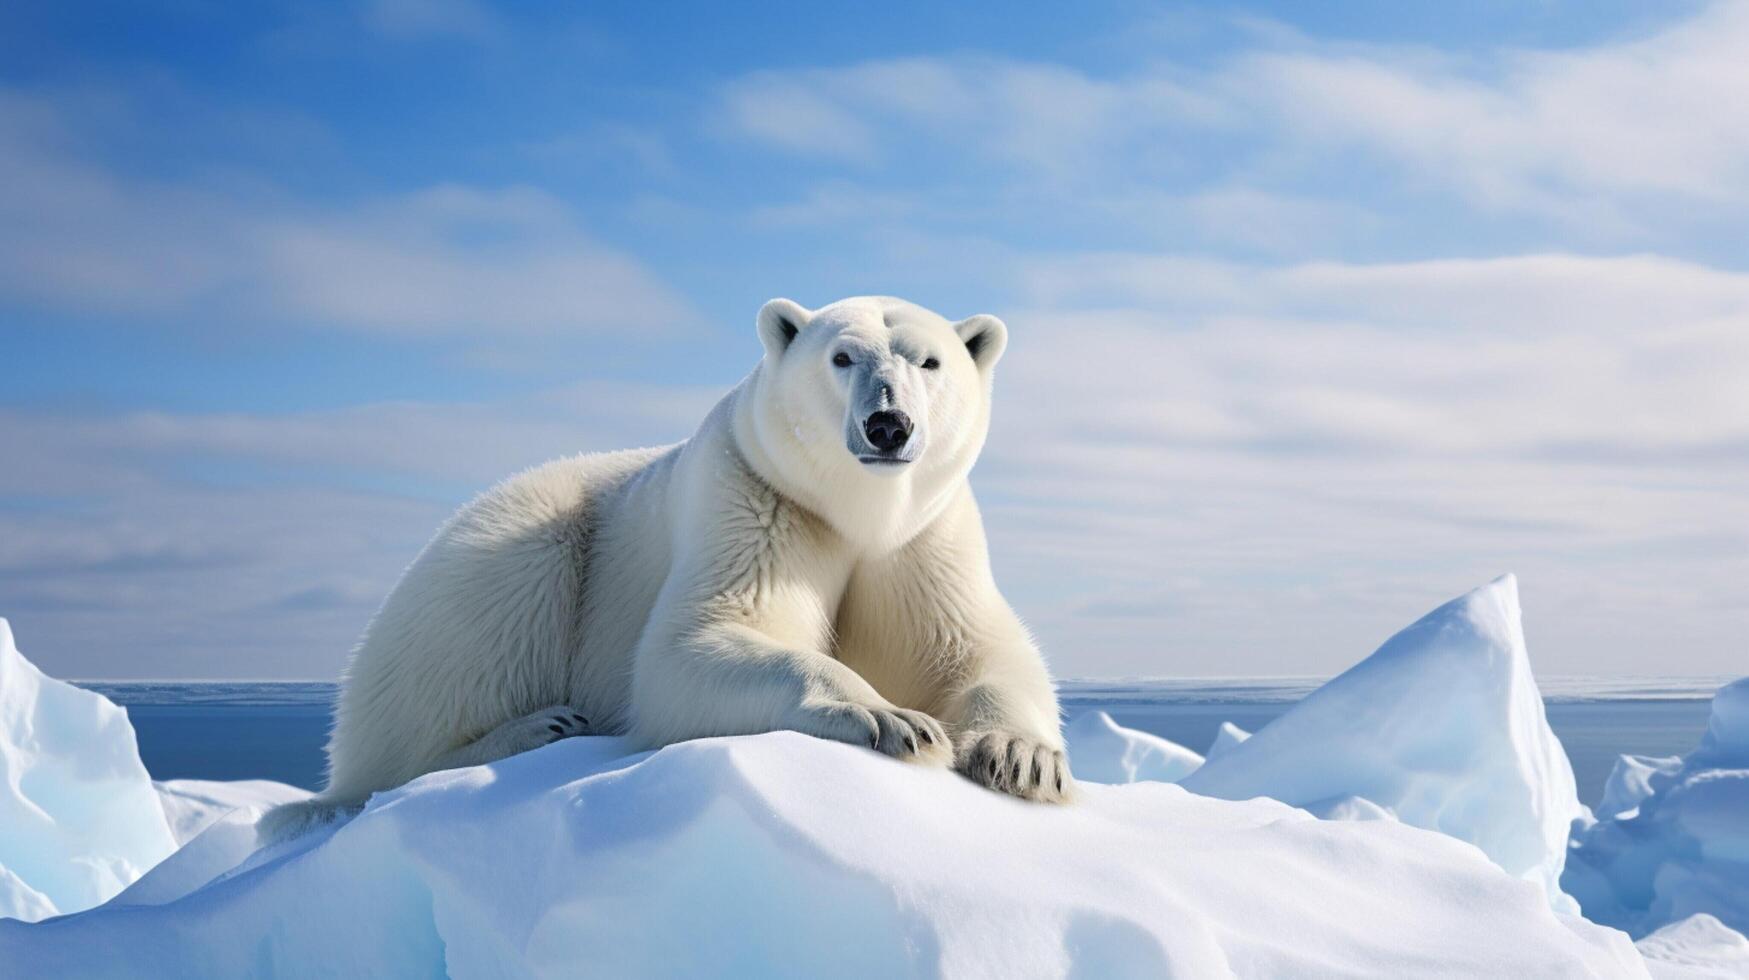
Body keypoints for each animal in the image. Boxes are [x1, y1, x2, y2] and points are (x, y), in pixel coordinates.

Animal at [260, 294, 1070, 840]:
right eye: (841, 357)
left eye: (929, 361)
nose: (887, 425)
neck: (855, 514)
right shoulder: (752, 499)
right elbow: (692, 645)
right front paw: (891, 716)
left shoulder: (924, 539)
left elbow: (976, 648)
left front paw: (1024, 759)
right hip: (510, 545)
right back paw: (536, 727)